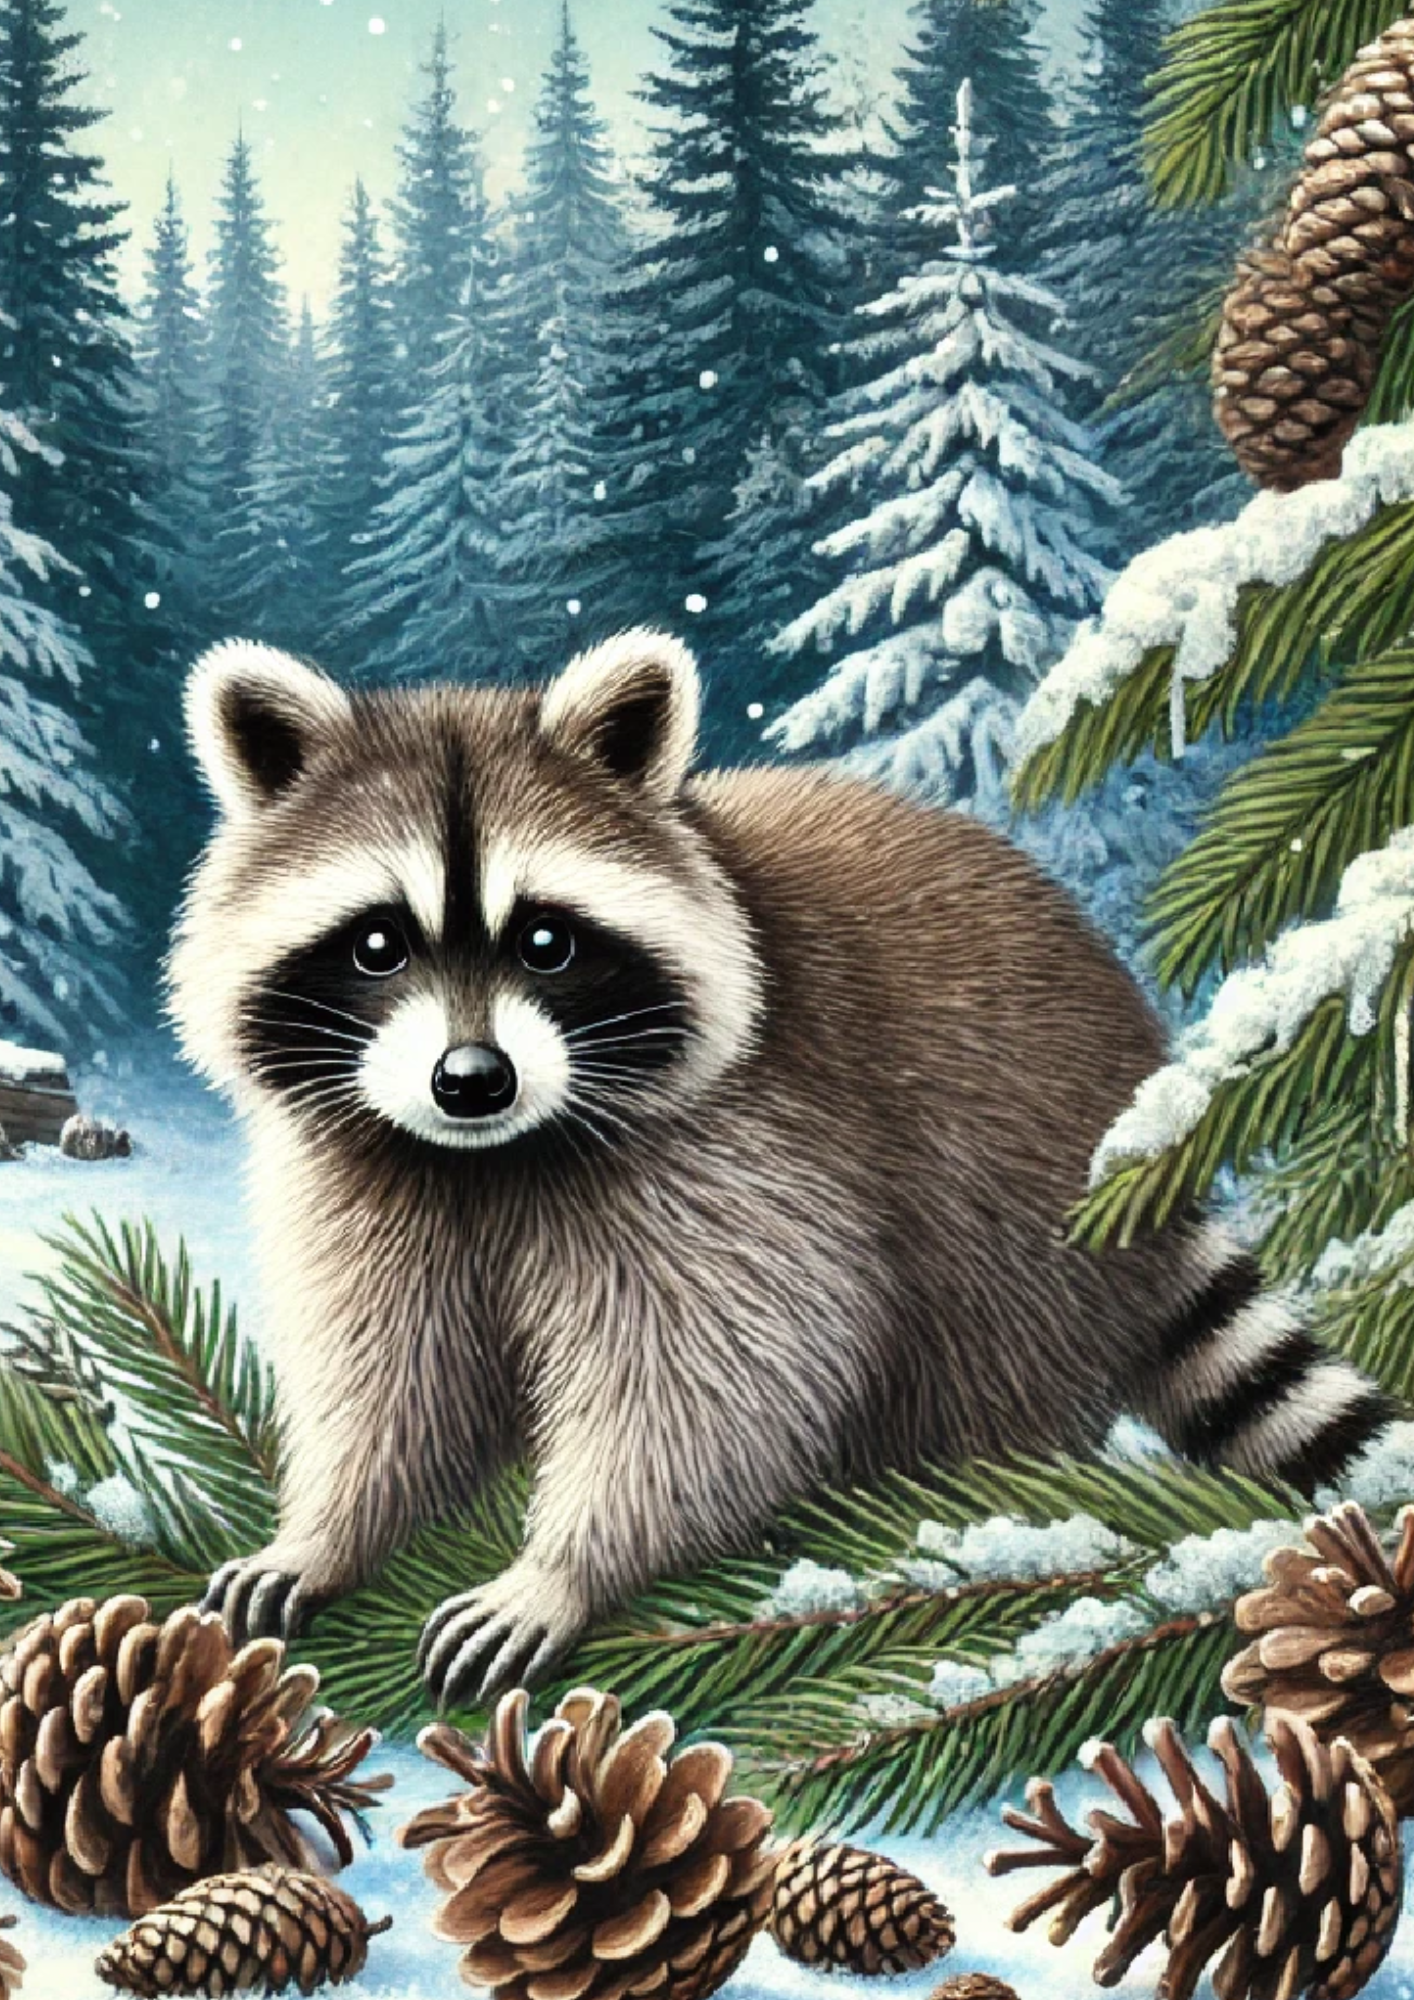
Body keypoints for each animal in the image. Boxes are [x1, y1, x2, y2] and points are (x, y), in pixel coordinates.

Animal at [170, 630, 1390, 1710]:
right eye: (378, 944)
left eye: (546, 943)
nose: (473, 1079)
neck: (492, 1157)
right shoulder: (367, 1169)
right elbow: (389, 1373)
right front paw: (329, 1527)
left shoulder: (745, 1142)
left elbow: (717, 1374)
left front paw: (562, 1571)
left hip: (1022, 1202)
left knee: (988, 1360)